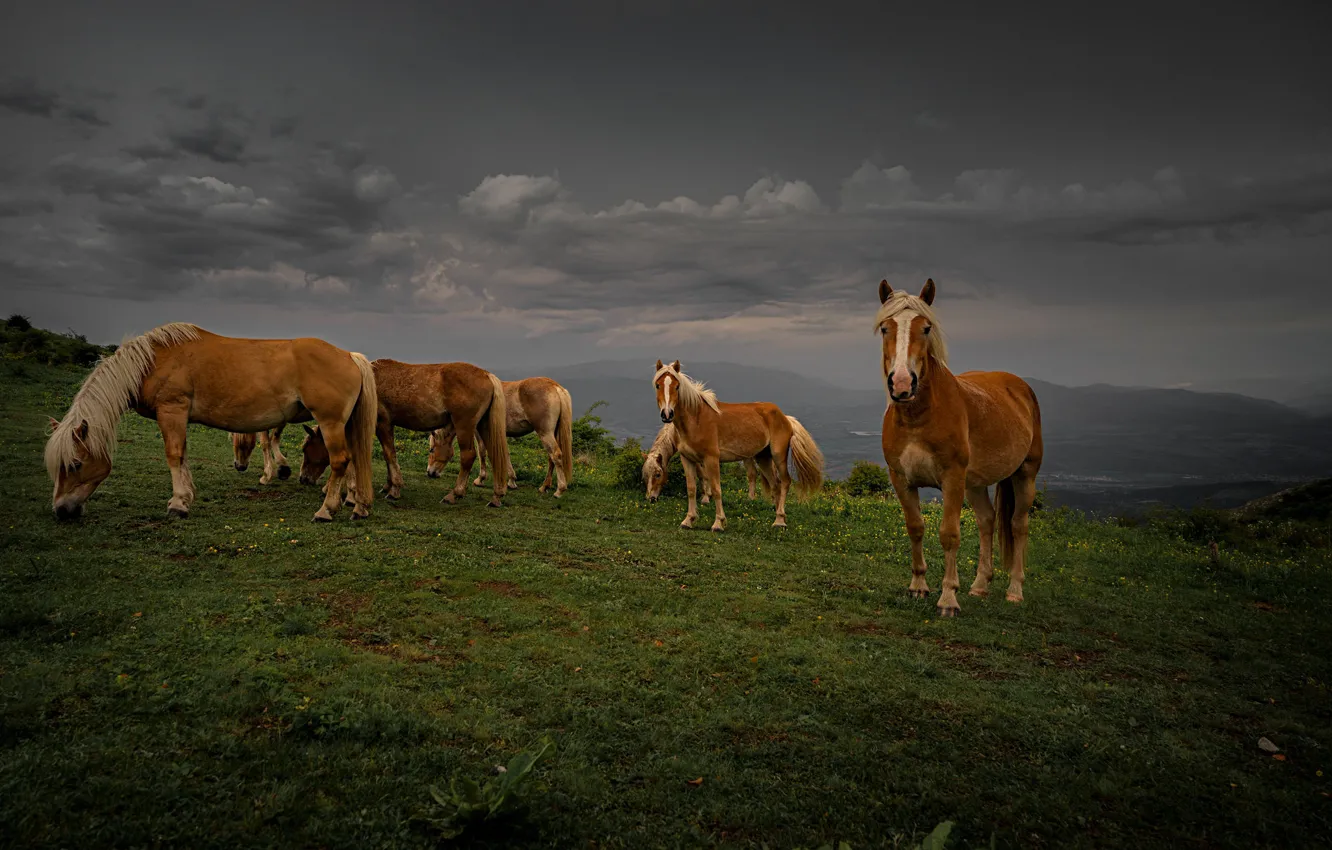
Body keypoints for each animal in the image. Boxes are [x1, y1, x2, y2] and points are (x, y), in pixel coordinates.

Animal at [45, 323, 378, 522]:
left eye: (74, 464)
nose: (61, 510)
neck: (151, 361)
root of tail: (350, 356)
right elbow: (183, 456)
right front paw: (186, 497)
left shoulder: (172, 411)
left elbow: (174, 455)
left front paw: (178, 504)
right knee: (353, 460)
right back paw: (357, 504)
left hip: (331, 423)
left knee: (340, 461)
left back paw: (326, 510)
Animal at [299, 359, 510, 508]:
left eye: (306, 449)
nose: (303, 479)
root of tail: (487, 375)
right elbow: (387, 457)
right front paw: (387, 485)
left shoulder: (382, 424)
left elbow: (389, 454)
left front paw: (394, 489)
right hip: (483, 426)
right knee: (494, 455)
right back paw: (497, 495)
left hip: (465, 426)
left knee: (468, 456)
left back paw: (454, 494)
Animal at [427, 376, 574, 497]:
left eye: (431, 449)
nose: (429, 472)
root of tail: (556, 387)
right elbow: (505, 453)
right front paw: (511, 480)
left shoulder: (478, 432)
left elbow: (482, 452)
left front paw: (480, 479)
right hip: (551, 433)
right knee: (551, 458)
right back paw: (544, 487)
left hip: (545, 433)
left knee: (556, 455)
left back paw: (559, 490)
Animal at [652, 359, 824, 531]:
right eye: (658, 385)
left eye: (677, 386)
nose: (667, 414)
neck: (696, 419)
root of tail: (785, 418)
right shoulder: (687, 459)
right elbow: (691, 489)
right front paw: (688, 520)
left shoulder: (711, 459)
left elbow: (716, 489)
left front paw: (718, 523)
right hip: (763, 457)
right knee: (775, 485)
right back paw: (778, 516)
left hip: (778, 455)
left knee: (785, 482)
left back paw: (779, 520)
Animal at [875, 278, 1044, 617]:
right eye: (886, 328)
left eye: (926, 328)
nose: (902, 384)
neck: (918, 417)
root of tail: (1020, 387)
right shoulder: (901, 478)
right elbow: (915, 527)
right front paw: (918, 586)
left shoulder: (952, 478)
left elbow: (949, 534)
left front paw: (948, 598)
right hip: (974, 484)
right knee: (987, 520)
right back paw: (980, 586)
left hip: (1025, 475)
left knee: (1018, 525)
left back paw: (1014, 590)